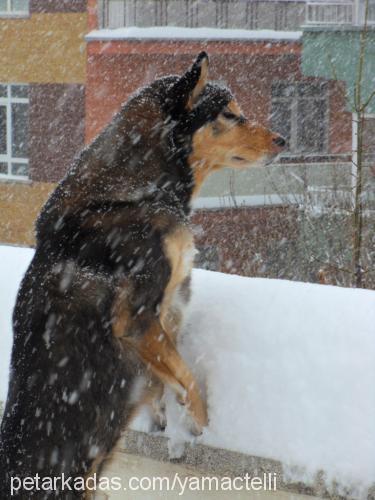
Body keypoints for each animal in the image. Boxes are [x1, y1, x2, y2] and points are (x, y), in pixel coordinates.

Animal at [0, 52, 286, 498]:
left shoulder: (161, 314)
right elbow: (187, 378)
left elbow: (167, 369)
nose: (283, 141)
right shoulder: (136, 317)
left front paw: (163, 413)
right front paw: (200, 422)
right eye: (229, 114)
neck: (139, 190)